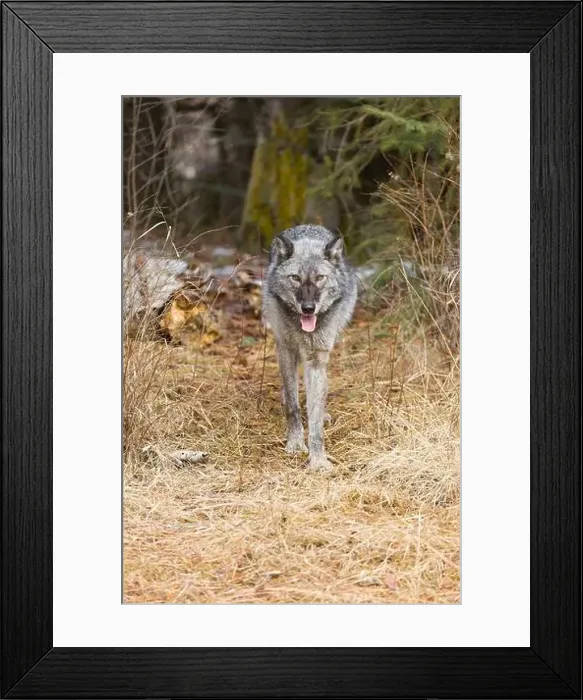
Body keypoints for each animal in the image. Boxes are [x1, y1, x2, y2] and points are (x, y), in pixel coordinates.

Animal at [262, 224, 357, 471]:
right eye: (295, 278)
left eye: (320, 278)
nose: (308, 308)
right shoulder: (286, 350)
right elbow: (293, 406)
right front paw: (295, 443)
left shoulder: (315, 359)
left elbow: (314, 418)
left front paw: (318, 459)